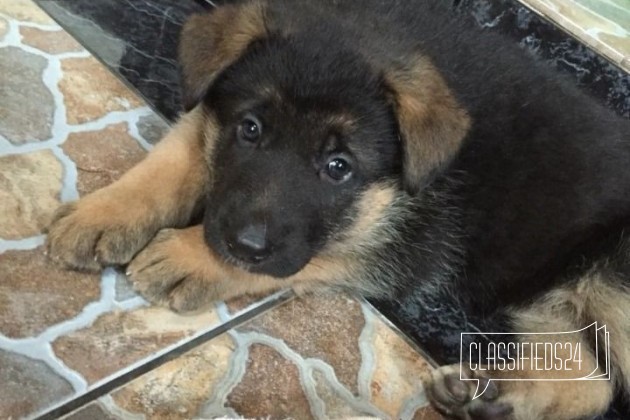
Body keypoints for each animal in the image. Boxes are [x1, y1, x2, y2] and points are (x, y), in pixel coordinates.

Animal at [47, 0, 630, 418]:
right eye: (250, 129)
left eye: (338, 166)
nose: (243, 245)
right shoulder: (210, 113)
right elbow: (172, 158)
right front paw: (106, 212)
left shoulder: (408, 245)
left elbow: (306, 258)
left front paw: (194, 258)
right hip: (557, 297)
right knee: (588, 376)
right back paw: (490, 396)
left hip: (610, 278)